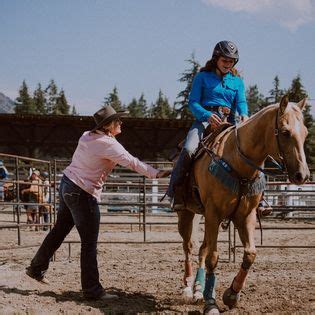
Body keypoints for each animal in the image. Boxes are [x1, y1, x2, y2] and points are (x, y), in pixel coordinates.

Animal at [178, 97, 312, 314]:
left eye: (306, 132)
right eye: (285, 132)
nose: (303, 175)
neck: (238, 164)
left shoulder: (246, 216)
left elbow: (250, 254)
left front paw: (232, 295)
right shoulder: (214, 214)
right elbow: (213, 257)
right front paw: (211, 302)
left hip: (202, 216)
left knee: (201, 248)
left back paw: (198, 290)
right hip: (187, 215)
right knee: (189, 246)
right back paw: (189, 288)